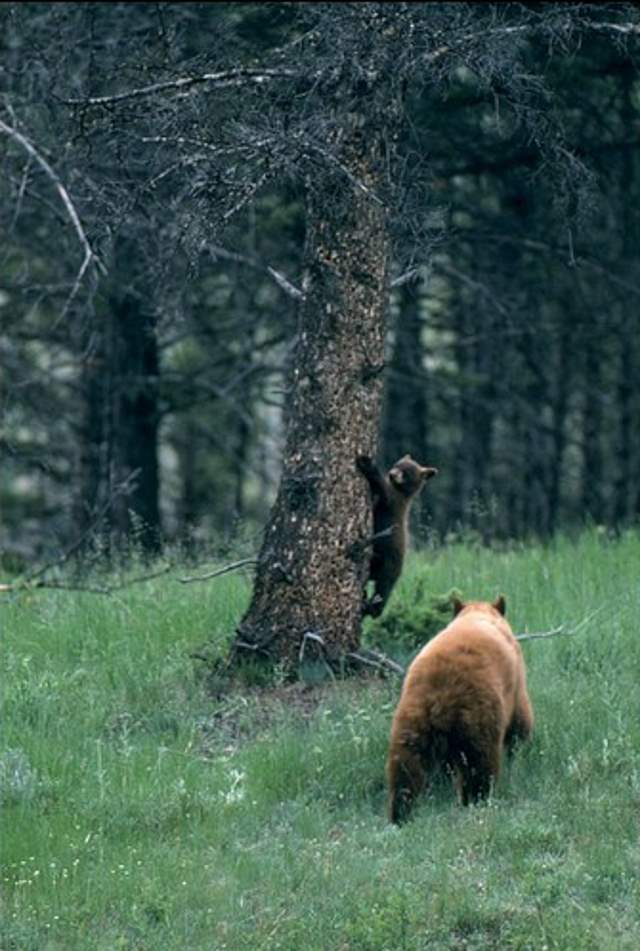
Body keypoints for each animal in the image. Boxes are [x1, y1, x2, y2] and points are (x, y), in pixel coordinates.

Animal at [388, 600, 532, 820]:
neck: (478, 614)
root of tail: (440, 695)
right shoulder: (515, 682)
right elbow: (521, 719)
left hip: (411, 719)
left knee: (405, 768)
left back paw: (401, 813)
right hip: (478, 716)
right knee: (479, 766)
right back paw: (476, 801)